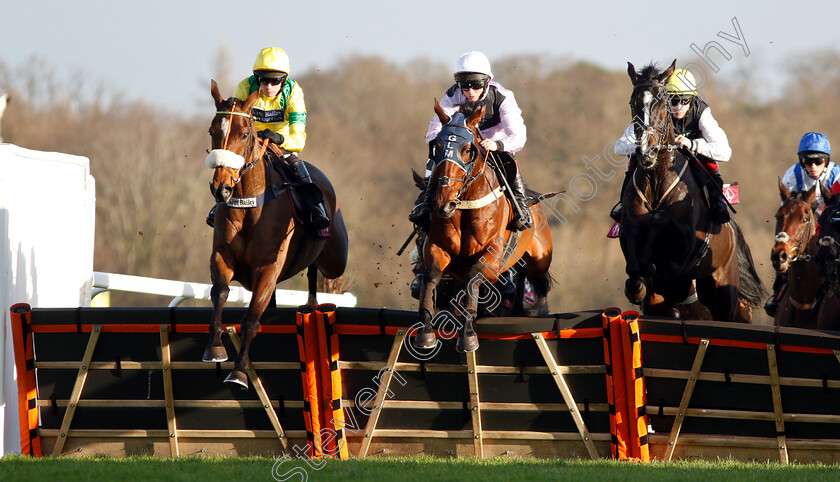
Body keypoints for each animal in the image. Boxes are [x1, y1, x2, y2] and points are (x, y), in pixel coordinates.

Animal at [203, 80, 348, 388]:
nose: (221, 188)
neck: (250, 206)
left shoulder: (267, 268)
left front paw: (239, 372)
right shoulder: (221, 256)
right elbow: (219, 292)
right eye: (212, 131)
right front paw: (215, 348)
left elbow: (251, 319)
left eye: (245, 133)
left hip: (336, 259)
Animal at [412, 101, 552, 352]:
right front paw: (426, 334)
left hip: (539, 260)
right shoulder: (437, 247)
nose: (444, 202)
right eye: (436, 147)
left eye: (468, 149)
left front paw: (468, 336)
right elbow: (431, 276)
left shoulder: (492, 255)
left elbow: (473, 277)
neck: (464, 205)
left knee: (537, 283)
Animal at [616, 61, 768, 324]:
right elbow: (634, 263)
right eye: (633, 102)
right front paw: (638, 283)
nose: (646, 152)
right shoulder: (628, 229)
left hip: (723, 293)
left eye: (663, 102)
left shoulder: (686, 246)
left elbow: (661, 219)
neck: (656, 180)